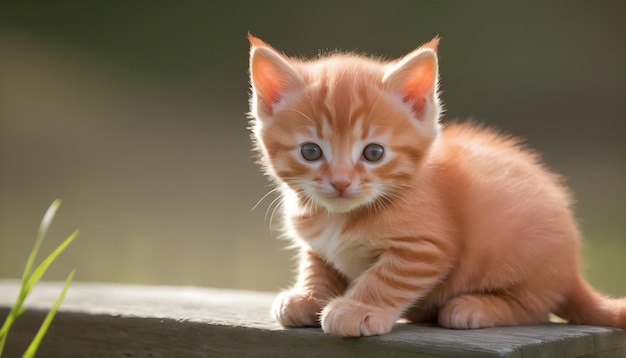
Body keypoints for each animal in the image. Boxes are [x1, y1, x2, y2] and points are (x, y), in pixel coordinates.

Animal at [246, 33, 620, 336]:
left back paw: (475, 306)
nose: (340, 182)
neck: (338, 217)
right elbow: (317, 266)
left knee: (533, 307)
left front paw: (357, 308)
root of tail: (572, 269)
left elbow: (385, 277)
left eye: (373, 153)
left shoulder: (426, 248)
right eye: (310, 151)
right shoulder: (317, 245)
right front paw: (308, 296)